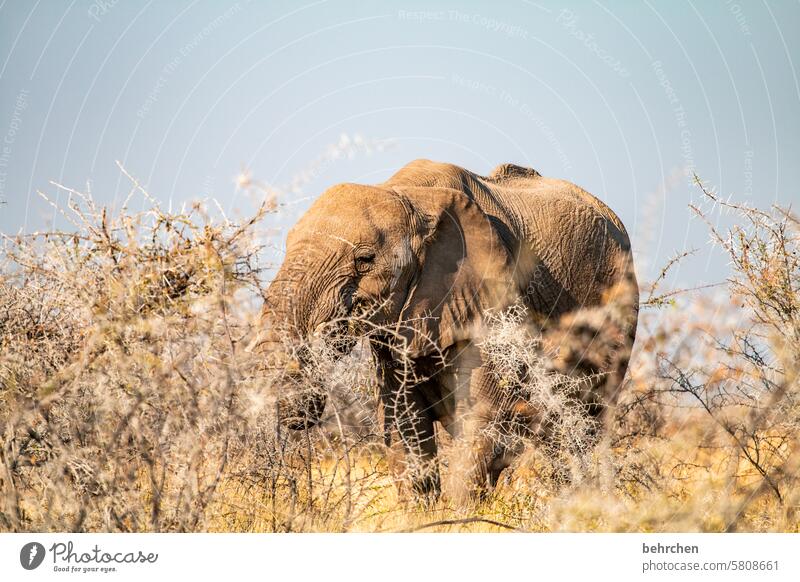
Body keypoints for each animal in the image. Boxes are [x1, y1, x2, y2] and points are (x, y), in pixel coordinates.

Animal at [260, 159, 640, 502]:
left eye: (365, 259)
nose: (299, 416)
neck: (410, 194)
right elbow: (402, 419)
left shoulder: (493, 302)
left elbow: (481, 415)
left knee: (580, 426)